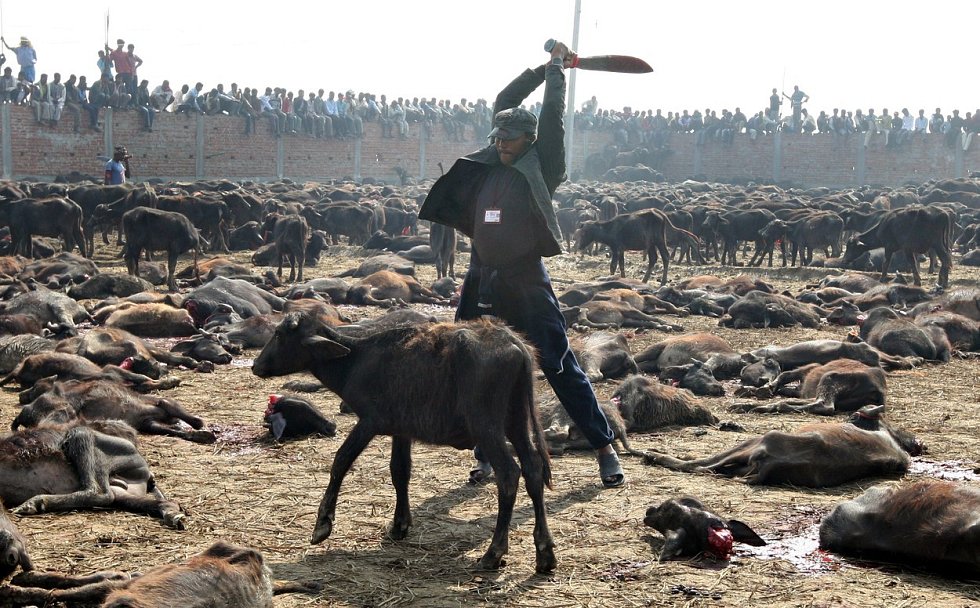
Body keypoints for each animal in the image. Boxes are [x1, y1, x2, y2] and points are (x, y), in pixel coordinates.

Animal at [251, 314, 560, 576]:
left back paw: (493, 553)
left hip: (487, 427)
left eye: (278, 334)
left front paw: (322, 525)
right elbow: (400, 471)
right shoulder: (401, 430)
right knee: (533, 470)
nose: (255, 365)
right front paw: (399, 525)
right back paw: (545, 553)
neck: (356, 361)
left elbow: (341, 460)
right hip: (517, 421)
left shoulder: (370, 422)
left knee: (509, 474)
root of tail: (515, 344)